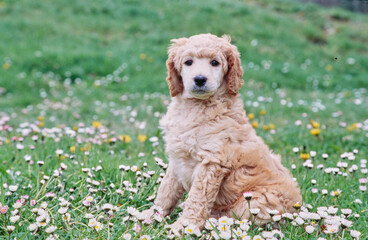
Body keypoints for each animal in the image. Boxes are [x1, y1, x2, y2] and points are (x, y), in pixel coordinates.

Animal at [142, 33, 300, 232]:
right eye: (188, 62)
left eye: (215, 63)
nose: (199, 79)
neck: (197, 107)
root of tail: (298, 210)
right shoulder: (178, 158)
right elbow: (166, 189)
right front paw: (152, 215)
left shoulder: (212, 161)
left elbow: (198, 198)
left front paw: (185, 226)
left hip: (256, 201)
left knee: (237, 219)